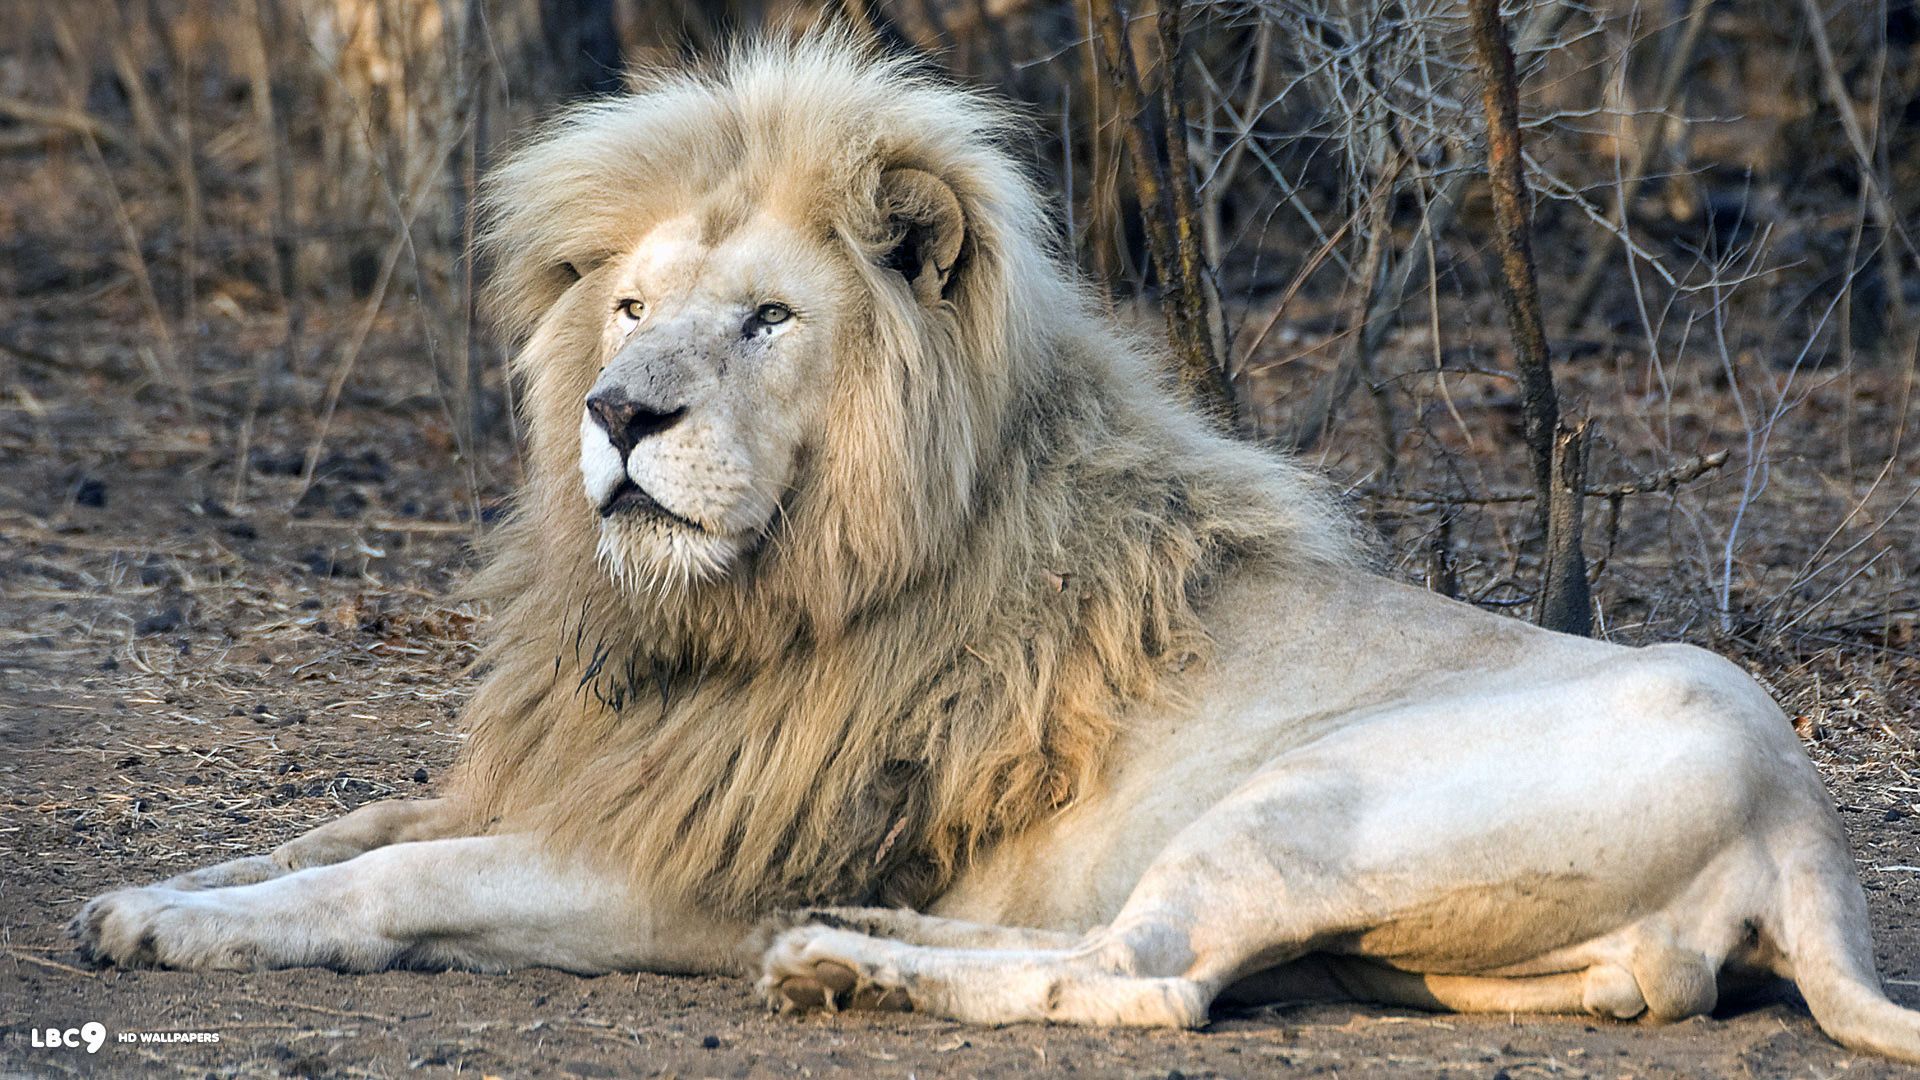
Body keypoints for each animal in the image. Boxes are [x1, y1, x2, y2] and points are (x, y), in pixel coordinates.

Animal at [70, 35, 1919, 1062]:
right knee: (1106, 945)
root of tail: (1803, 826)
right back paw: (850, 941)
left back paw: (838, 962)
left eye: (767, 320)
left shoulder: (681, 865)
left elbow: (398, 877)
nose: (617, 415)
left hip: (1309, 800)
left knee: (1149, 981)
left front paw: (189, 934)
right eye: (633, 308)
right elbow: (338, 829)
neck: (761, 600)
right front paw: (163, 894)